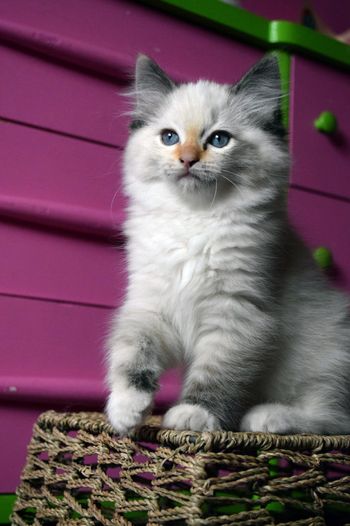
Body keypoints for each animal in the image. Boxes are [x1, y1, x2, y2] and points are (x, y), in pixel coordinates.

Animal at [106, 54, 350, 438]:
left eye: (219, 140)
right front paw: (126, 410)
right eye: (170, 137)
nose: (187, 159)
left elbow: (217, 373)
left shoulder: (236, 312)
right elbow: (132, 353)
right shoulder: (152, 306)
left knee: (333, 420)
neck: (192, 221)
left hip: (326, 360)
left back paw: (266, 417)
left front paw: (194, 415)